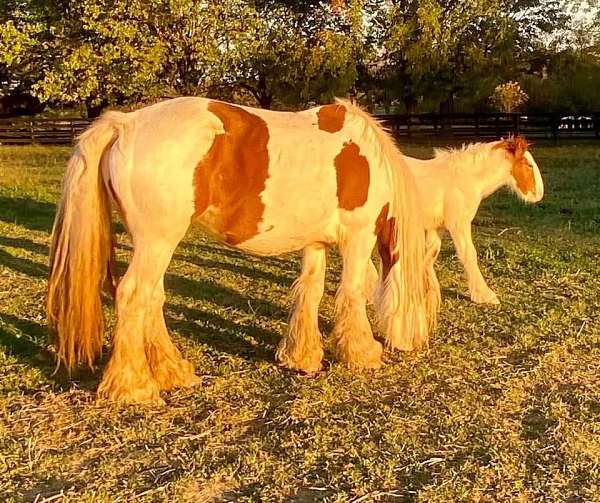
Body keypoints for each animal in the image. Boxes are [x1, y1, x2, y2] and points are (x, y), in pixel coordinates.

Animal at [47, 97, 438, 406]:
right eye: (427, 296)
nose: (418, 342)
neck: (368, 158)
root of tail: (125, 124)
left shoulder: (315, 243)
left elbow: (309, 292)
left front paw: (301, 357)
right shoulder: (358, 237)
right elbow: (352, 292)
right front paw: (363, 354)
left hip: (155, 245)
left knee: (152, 299)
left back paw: (174, 372)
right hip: (157, 242)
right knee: (133, 296)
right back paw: (135, 388)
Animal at [366, 136, 544, 306]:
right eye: (529, 165)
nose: (539, 194)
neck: (465, 180)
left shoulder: (437, 226)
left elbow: (429, 254)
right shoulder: (459, 224)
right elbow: (468, 254)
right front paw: (485, 295)